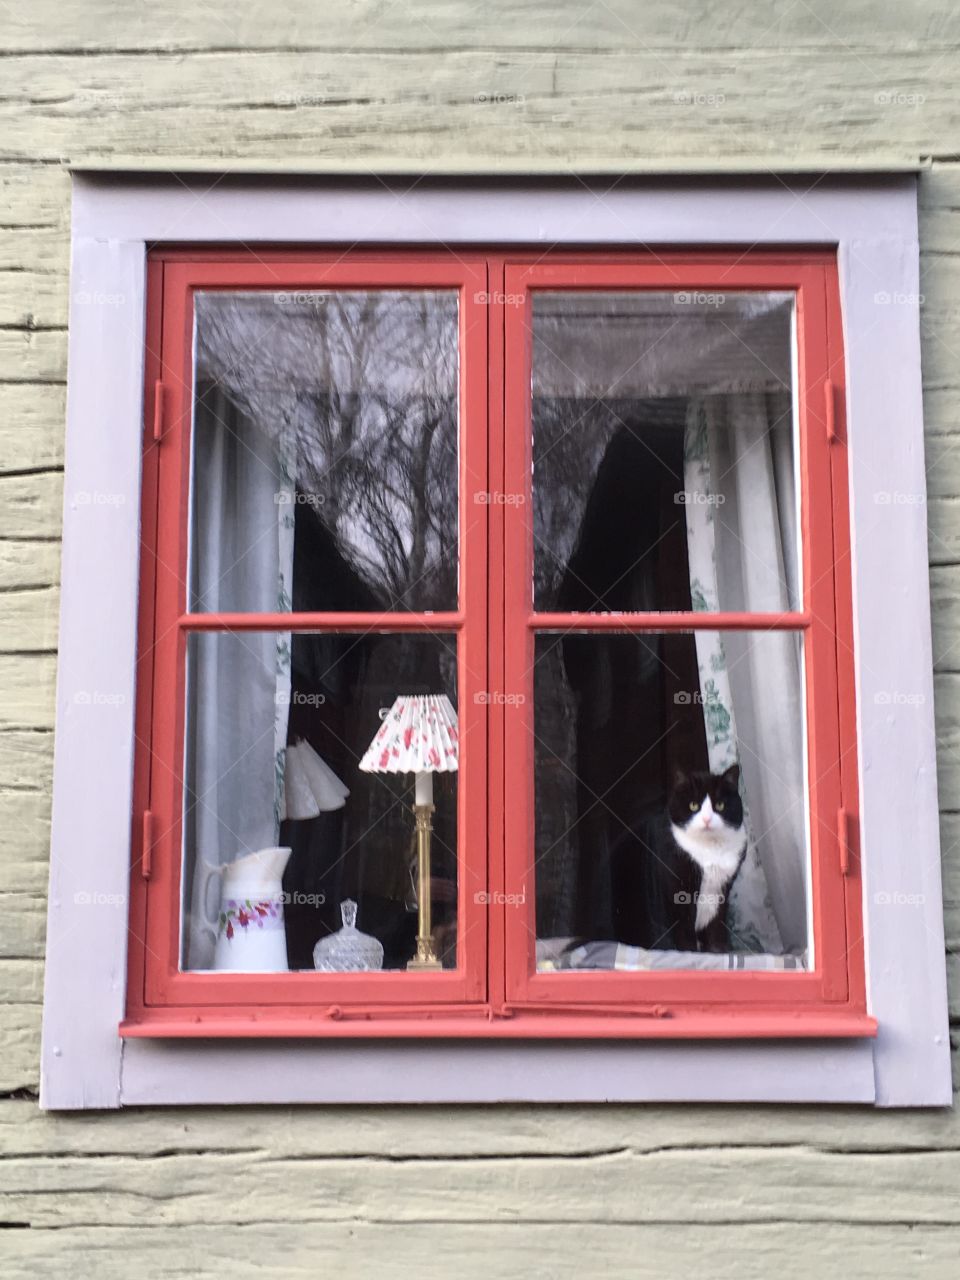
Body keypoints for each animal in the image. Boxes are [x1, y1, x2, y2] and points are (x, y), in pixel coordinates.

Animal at [609, 757, 752, 952]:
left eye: (720, 805)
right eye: (693, 805)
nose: (707, 819)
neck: (710, 849)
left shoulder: (723, 889)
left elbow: (715, 924)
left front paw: (718, 950)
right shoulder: (675, 887)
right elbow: (683, 927)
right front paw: (690, 952)